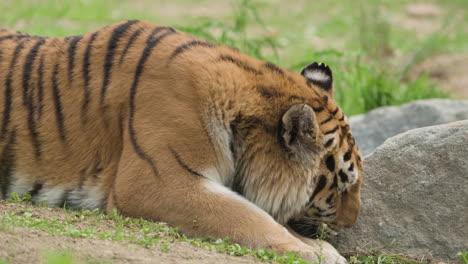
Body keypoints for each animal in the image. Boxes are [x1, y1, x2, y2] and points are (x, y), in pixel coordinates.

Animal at [0, 20, 362, 262]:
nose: (353, 223)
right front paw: (313, 253)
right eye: (342, 185)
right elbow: (248, 217)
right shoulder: (157, 183)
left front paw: (321, 248)